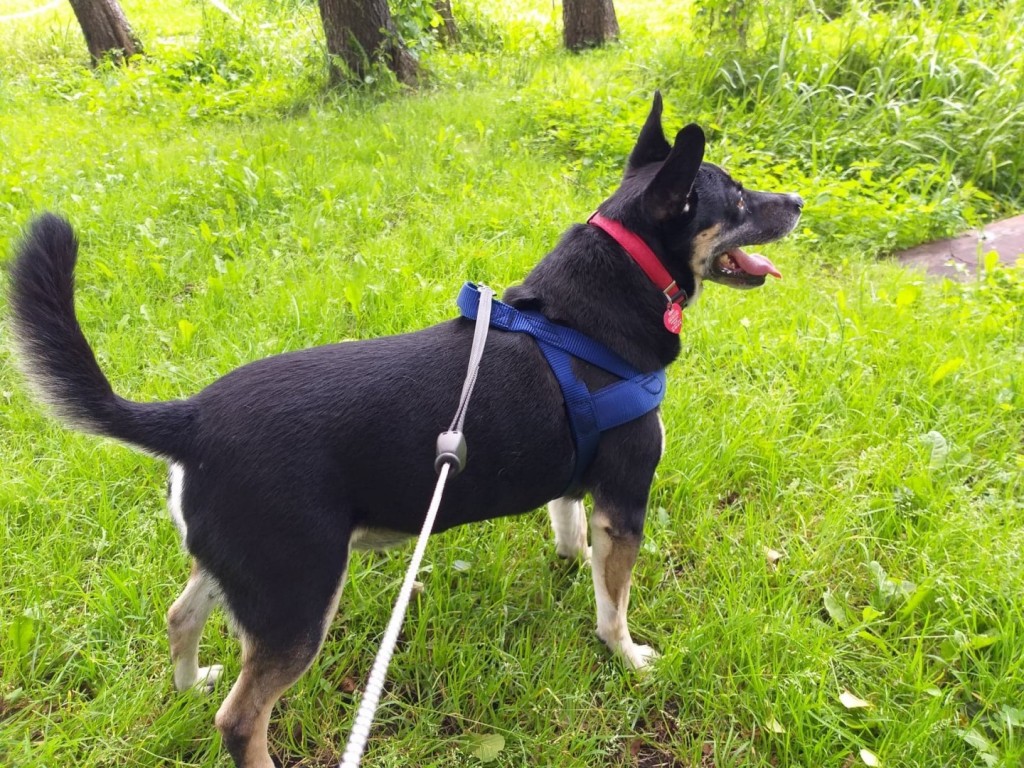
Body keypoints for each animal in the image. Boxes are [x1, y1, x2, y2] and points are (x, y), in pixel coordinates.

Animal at [8, 92, 802, 768]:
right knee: (240, 719)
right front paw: (628, 657)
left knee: (179, 618)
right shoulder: (626, 498)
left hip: (251, 571)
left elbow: (570, 530)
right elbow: (614, 604)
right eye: (736, 198)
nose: (796, 200)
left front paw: (570, 564)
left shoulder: (580, 487)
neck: (587, 312)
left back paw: (188, 683)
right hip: (300, 597)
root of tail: (192, 419)